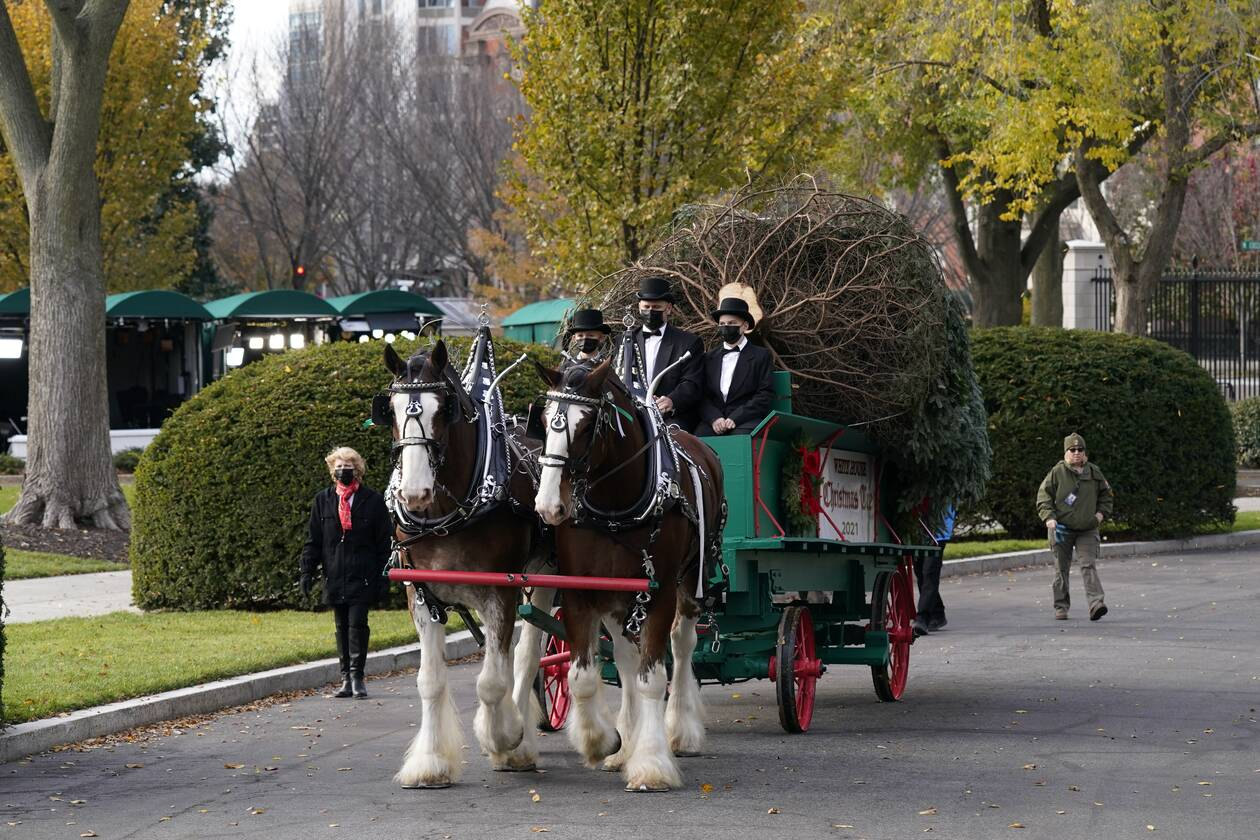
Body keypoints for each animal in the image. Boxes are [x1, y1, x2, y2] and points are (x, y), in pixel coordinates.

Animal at [383, 342, 551, 790]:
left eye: (444, 409)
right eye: (390, 409)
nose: (414, 492)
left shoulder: (500, 591)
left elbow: (491, 682)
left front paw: (504, 738)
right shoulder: (421, 594)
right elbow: (429, 681)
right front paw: (430, 762)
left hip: (547, 574)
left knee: (529, 653)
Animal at [534, 357, 730, 790]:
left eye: (587, 424)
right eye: (543, 418)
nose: (549, 506)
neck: (614, 508)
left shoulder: (659, 592)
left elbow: (652, 678)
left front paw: (652, 763)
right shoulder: (582, 591)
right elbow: (582, 676)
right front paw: (603, 741)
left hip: (690, 581)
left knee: (682, 645)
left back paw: (680, 730)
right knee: (625, 659)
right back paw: (626, 741)